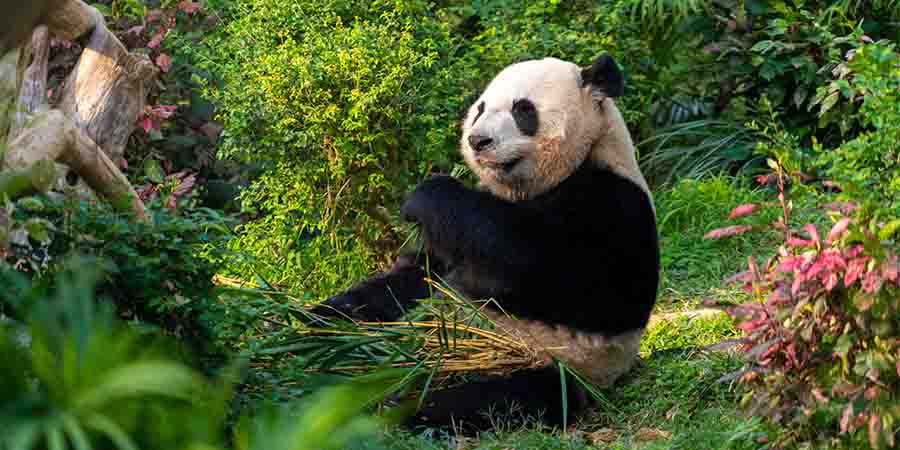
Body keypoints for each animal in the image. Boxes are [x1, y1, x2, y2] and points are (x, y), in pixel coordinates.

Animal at [310, 53, 660, 431]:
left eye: (523, 110)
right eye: (480, 109)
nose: (478, 141)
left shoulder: (610, 200)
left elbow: (556, 273)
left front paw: (425, 195)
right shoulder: (450, 237)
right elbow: (417, 274)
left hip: (549, 363)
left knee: (493, 398)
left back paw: (397, 404)